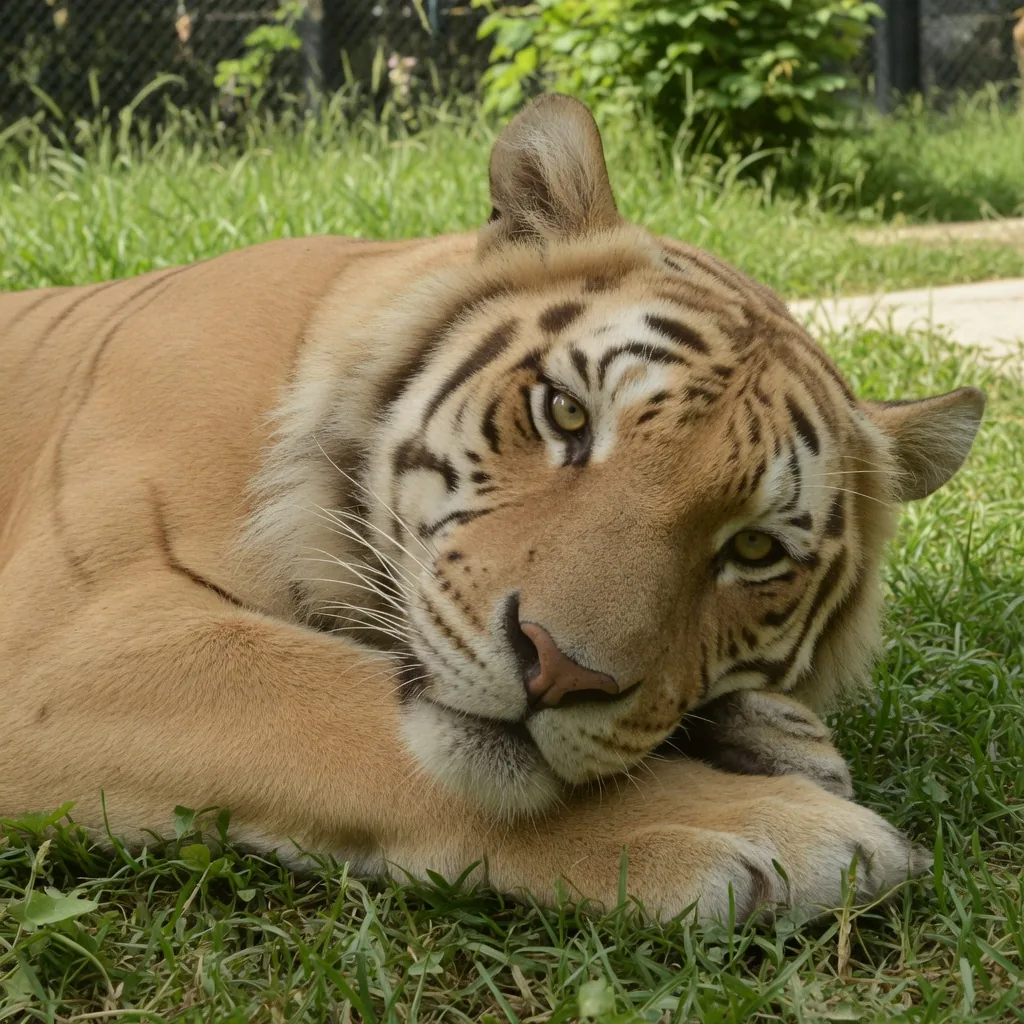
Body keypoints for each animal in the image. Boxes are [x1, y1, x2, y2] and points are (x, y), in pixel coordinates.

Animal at [0, 95, 983, 923]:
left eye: (754, 551)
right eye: (566, 414)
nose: (559, 671)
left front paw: (784, 743)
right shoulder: (69, 642)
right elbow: (337, 705)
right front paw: (776, 826)